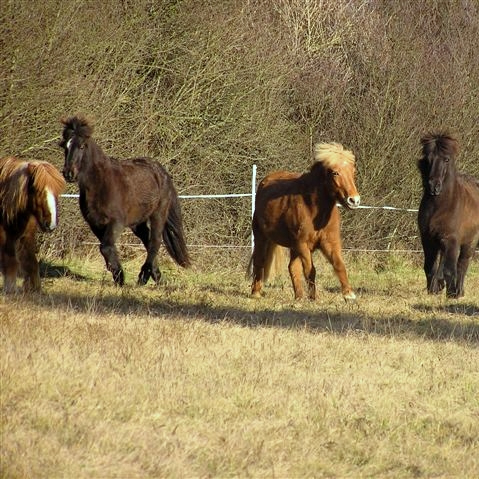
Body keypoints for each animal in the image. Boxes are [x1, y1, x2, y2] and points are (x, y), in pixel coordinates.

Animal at [0, 158, 66, 292]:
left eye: (56, 192)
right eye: (37, 190)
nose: (51, 224)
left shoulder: (26, 237)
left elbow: (31, 262)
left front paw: (34, 287)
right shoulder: (5, 236)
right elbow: (10, 261)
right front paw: (10, 287)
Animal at [61, 114, 191, 286]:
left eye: (82, 146)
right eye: (65, 146)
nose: (68, 173)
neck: (100, 184)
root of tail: (161, 171)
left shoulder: (116, 222)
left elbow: (106, 247)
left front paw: (120, 277)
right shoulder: (95, 224)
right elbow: (106, 248)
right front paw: (118, 276)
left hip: (158, 214)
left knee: (155, 241)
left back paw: (144, 276)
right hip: (138, 222)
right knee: (148, 240)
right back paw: (155, 276)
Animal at [251, 142, 360, 300]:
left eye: (353, 171)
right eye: (335, 173)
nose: (354, 200)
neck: (314, 211)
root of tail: (265, 182)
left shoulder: (330, 243)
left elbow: (339, 265)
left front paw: (349, 295)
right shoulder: (303, 244)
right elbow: (310, 270)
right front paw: (314, 298)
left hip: (293, 246)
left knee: (292, 267)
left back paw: (299, 297)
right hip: (262, 237)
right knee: (259, 261)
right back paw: (256, 293)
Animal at [416, 130, 479, 296]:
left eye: (446, 159)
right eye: (428, 159)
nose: (433, 186)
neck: (440, 206)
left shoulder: (452, 240)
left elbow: (450, 269)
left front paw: (451, 294)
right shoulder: (428, 239)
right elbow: (429, 267)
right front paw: (432, 290)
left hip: (469, 242)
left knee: (462, 264)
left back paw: (459, 291)